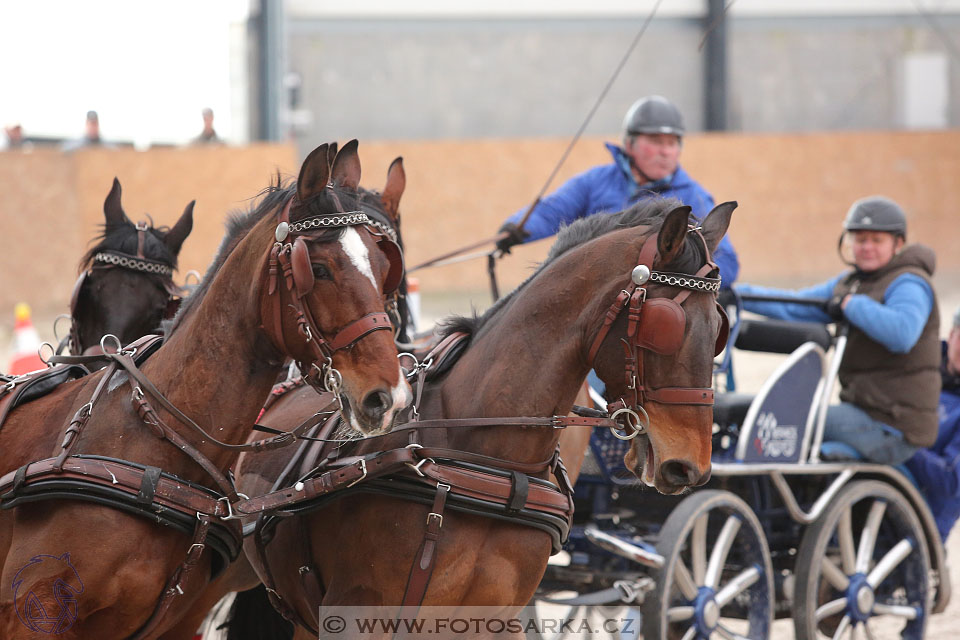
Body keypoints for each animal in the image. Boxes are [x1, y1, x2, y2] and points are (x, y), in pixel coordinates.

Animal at [223, 199, 736, 636]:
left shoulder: (498, 619)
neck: (493, 462)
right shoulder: (357, 612)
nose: (689, 466)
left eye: (719, 329)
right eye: (665, 326)